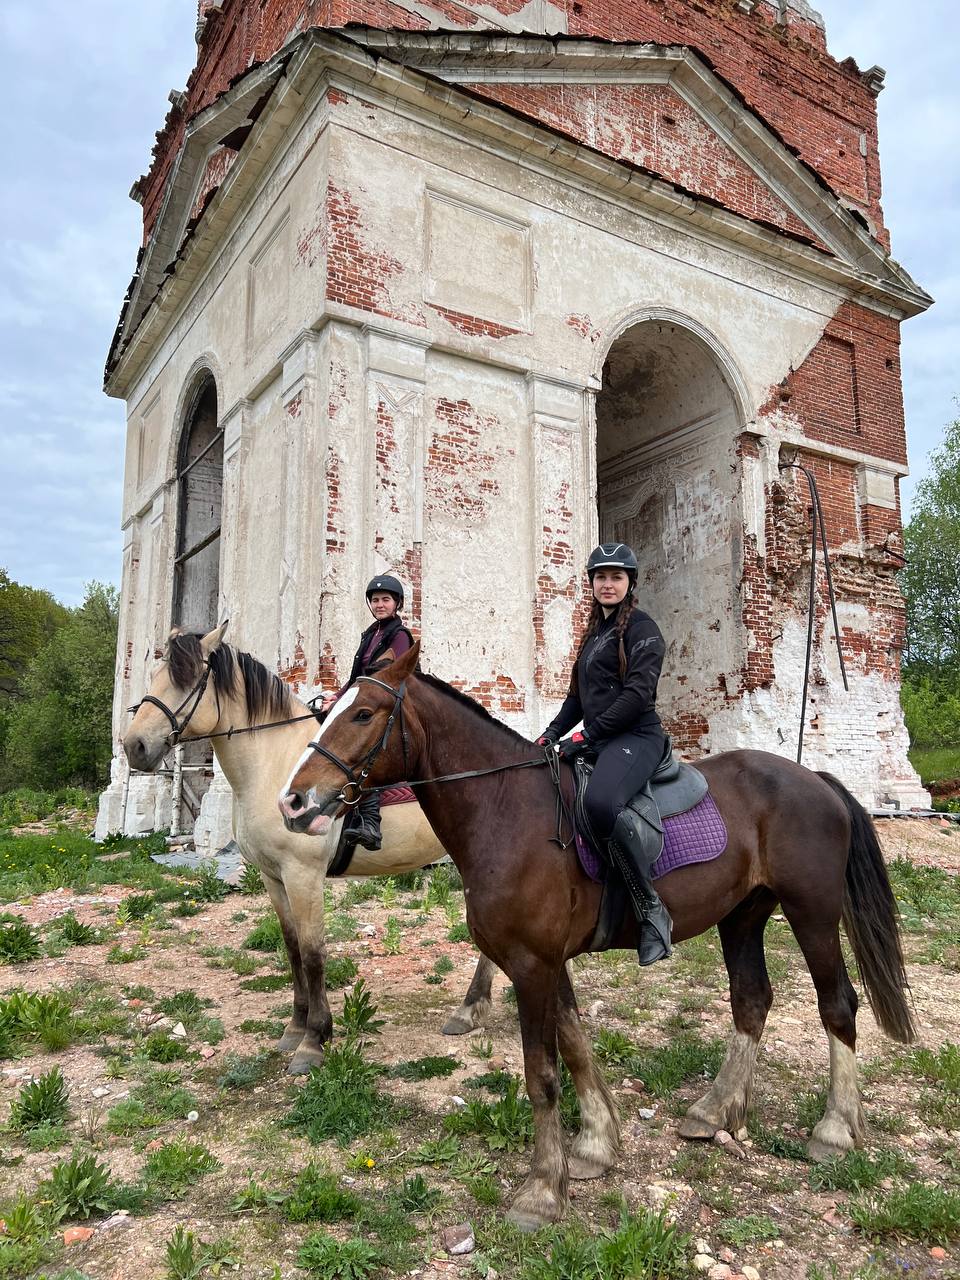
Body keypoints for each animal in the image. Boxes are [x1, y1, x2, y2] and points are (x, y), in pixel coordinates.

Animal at [124, 624, 499, 1075]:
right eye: (154, 674)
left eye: (188, 680)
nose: (134, 746)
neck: (273, 764)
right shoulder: (272, 877)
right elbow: (291, 949)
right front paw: (295, 1028)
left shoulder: (303, 874)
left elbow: (313, 952)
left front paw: (314, 1040)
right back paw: (471, 1009)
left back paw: (471, 1007)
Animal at [277, 645, 916, 1233]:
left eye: (364, 714)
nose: (293, 801)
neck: (507, 811)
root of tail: (817, 780)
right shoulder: (544, 961)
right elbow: (577, 1046)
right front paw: (594, 1146)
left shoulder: (531, 964)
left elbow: (542, 1075)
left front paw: (541, 1192)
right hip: (742, 917)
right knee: (751, 1001)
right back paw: (715, 1111)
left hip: (813, 913)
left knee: (837, 1006)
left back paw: (835, 1130)